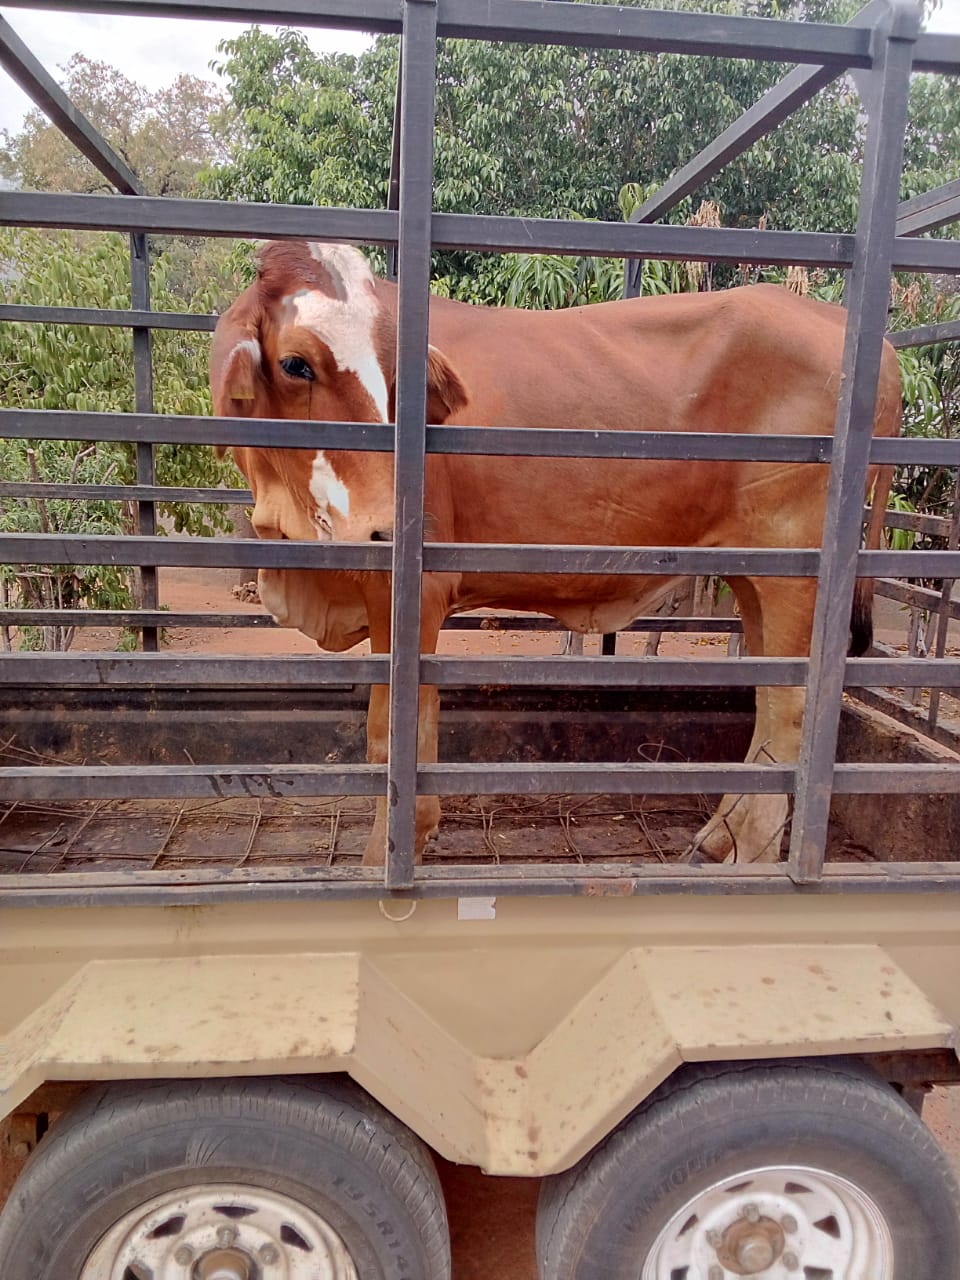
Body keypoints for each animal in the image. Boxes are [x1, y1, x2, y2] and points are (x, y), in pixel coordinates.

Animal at [209, 240, 901, 870]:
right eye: (295, 364)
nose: (382, 531)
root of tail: (872, 343)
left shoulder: (413, 596)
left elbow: (391, 739)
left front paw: (387, 855)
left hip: (796, 572)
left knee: (792, 708)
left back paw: (748, 854)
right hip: (758, 576)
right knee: (768, 699)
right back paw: (719, 837)